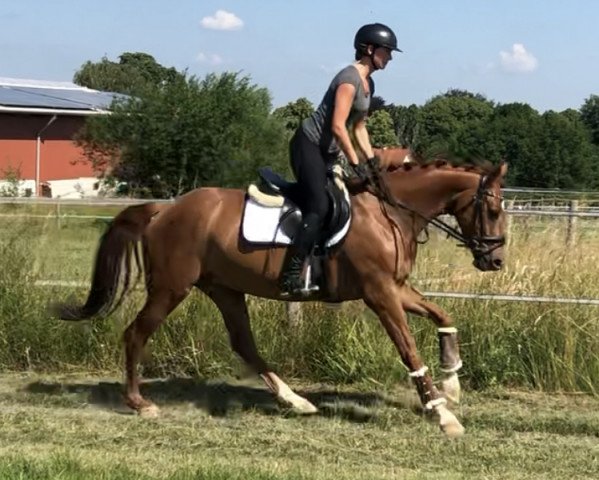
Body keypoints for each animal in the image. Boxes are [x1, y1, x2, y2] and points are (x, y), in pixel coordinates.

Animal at [55, 159, 506, 436]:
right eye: (494, 211)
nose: (496, 260)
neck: (390, 213)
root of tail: (164, 210)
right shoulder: (380, 294)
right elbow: (409, 349)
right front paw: (442, 414)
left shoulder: (394, 288)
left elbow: (442, 315)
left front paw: (452, 382)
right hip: (171, 288)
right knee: (136, 334)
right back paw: (138, 403)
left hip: (225, 289)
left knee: (243, 344)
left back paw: (294, 400)